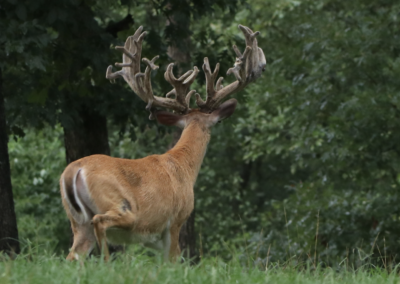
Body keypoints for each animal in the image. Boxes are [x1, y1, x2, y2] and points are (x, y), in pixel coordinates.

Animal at [59, 24, 266, 262]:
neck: (184, 166)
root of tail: (73, 171)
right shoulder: (175, 220)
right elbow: (174, 261)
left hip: (77, 222)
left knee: (72, 255)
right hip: (119, 206)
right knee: (100, 223)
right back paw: (107, 263)